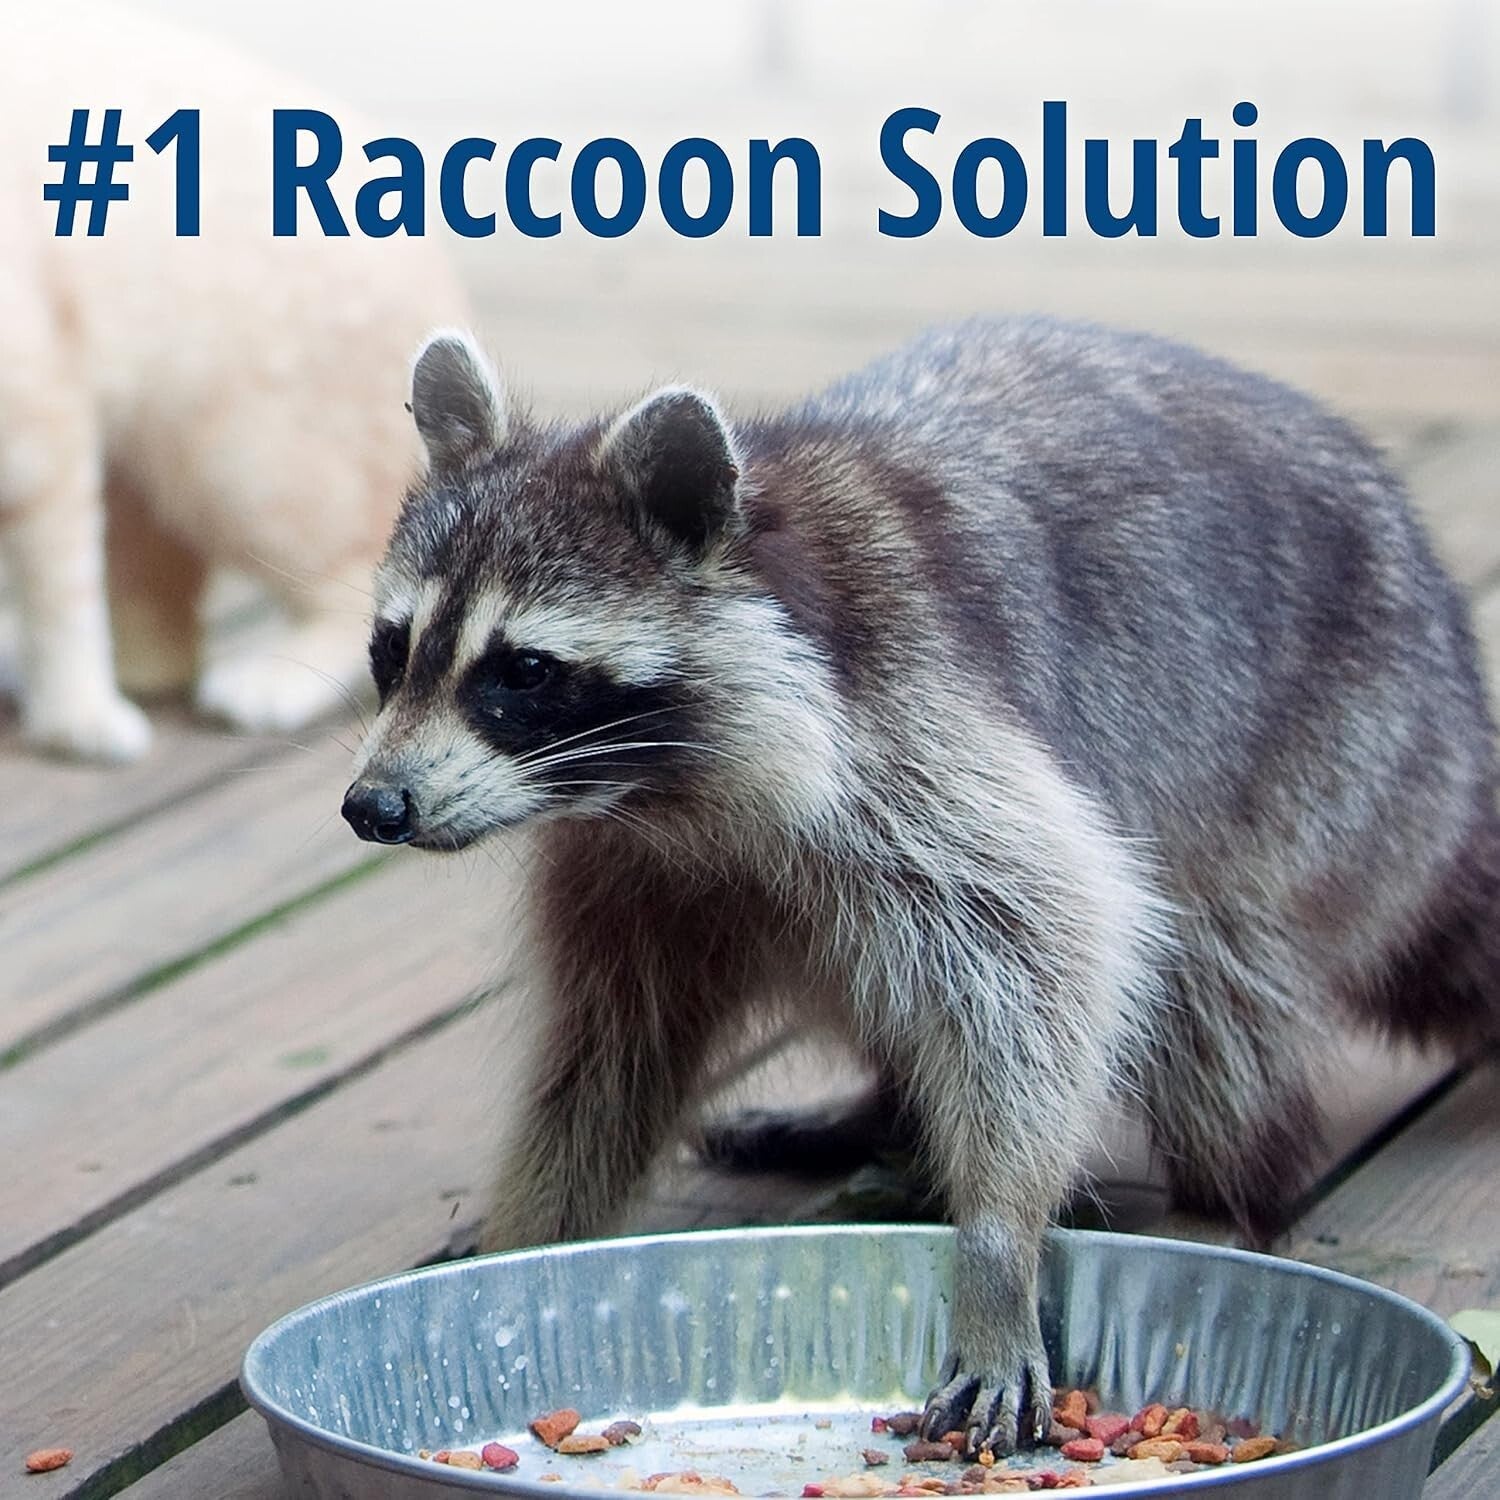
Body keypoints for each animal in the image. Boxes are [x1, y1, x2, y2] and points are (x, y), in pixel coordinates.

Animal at [344, 319, 1500, 1456]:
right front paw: (533, 1228)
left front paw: (998, 1241)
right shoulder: (627, 867)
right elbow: (607, 1055)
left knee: (1202, 968)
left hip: (1338, 757)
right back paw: (880, 1111)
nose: (374, 807)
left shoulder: (912, 728)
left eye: (522, 672)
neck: (662, 790)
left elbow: (1048, 945)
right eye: (390, 650)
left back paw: (1227, 1187)